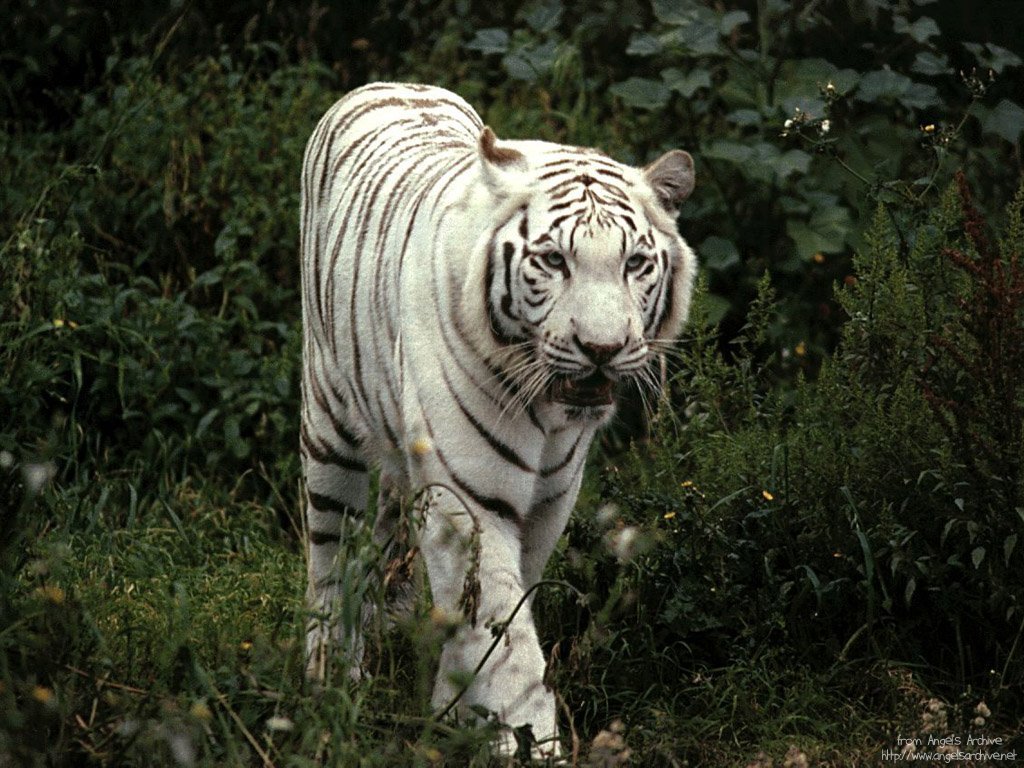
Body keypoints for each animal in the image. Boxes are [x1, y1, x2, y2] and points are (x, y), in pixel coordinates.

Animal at [299, 82, 696, 757]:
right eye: (554, 261)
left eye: (636, 263)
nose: (603, 348)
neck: (550, 412)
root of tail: (388, 83)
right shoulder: (472, 495)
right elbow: (502, 631)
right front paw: (526, 741)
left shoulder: (551, 498)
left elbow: (496, 611)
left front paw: (457, 710)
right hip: (329, 430)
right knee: (331, 559)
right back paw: (328, 681)